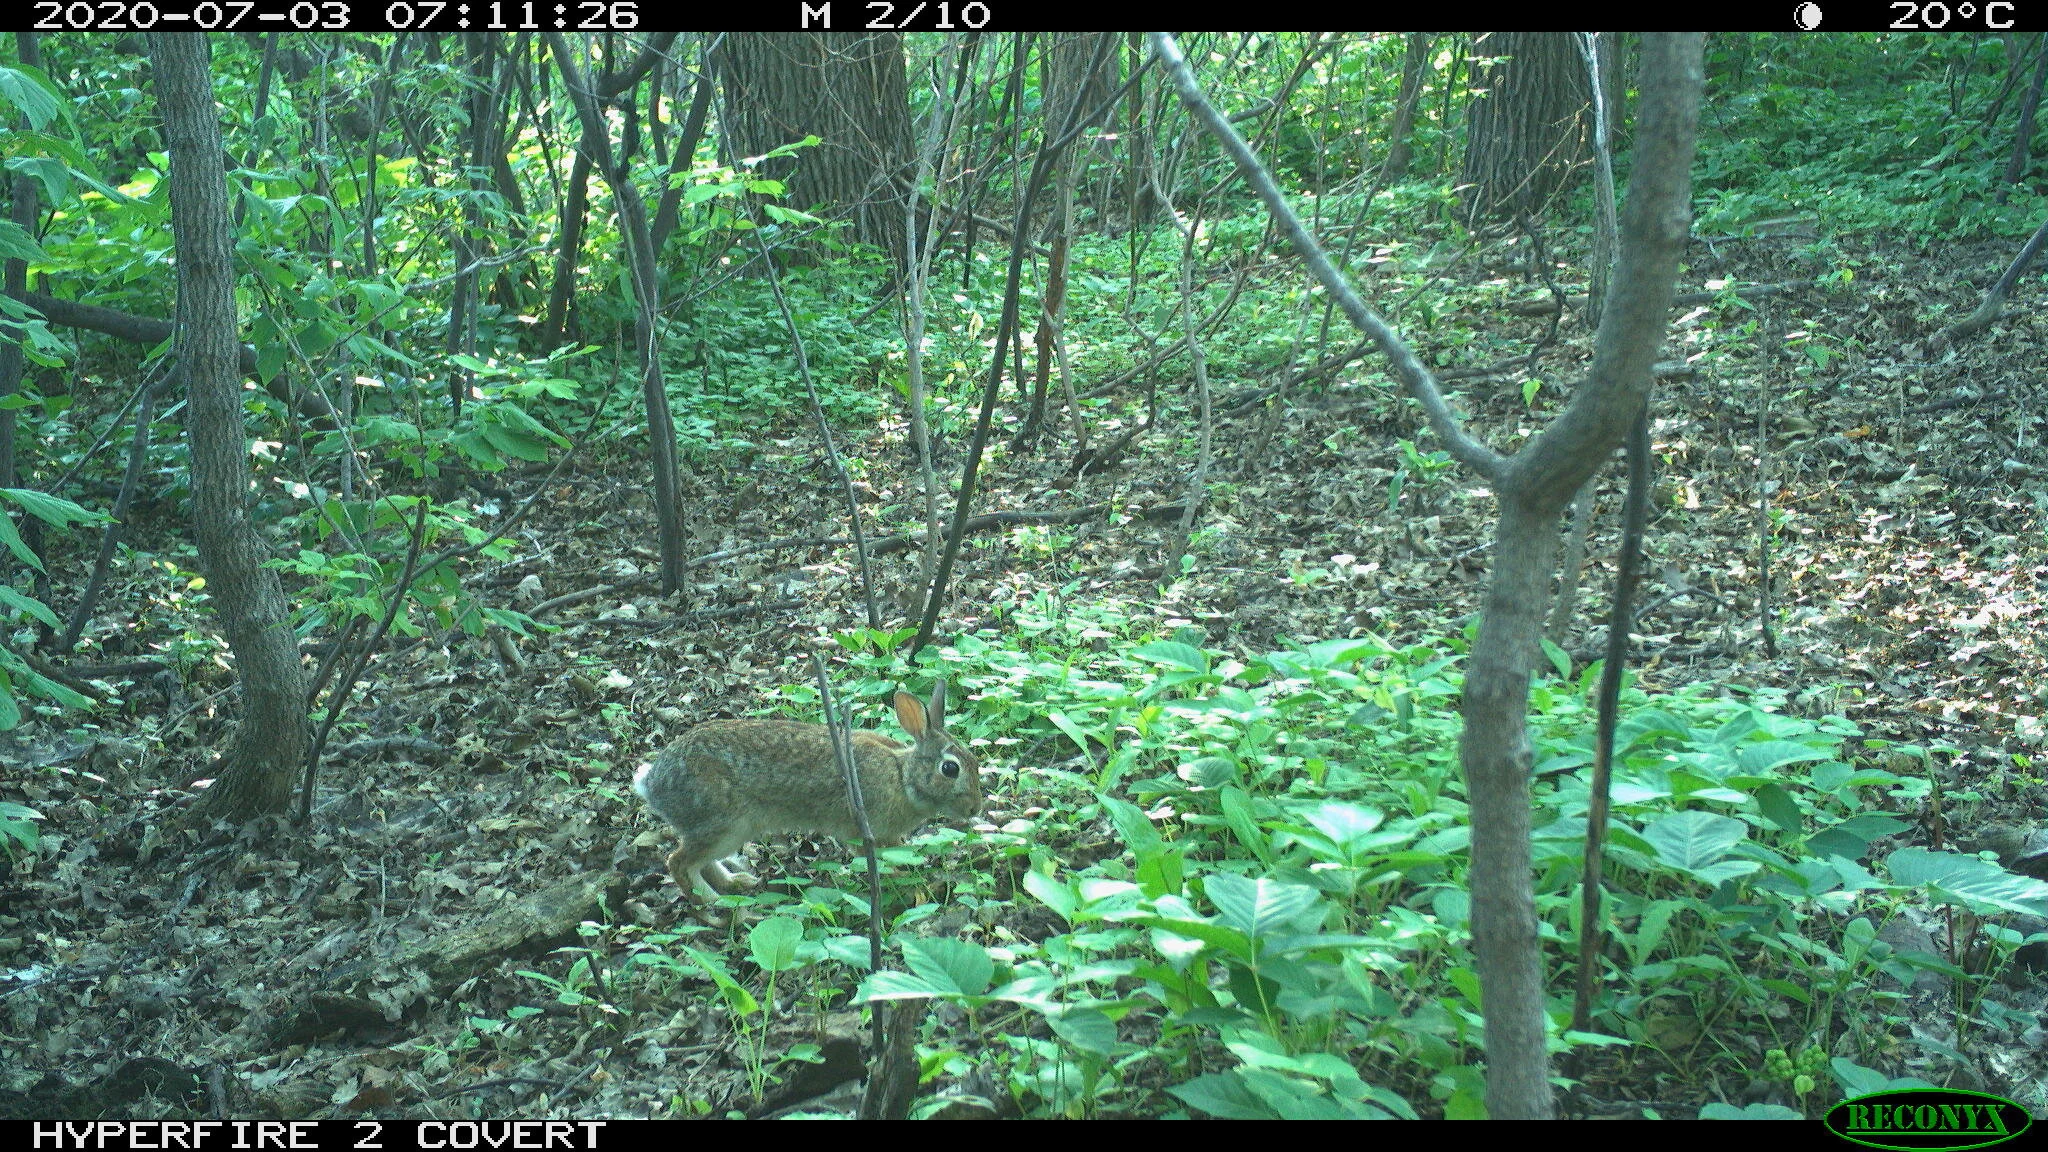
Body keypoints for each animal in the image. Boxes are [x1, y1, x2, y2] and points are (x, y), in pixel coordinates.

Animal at [633, 681, 983, 908]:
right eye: (950, 769)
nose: (975, 809)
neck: (903, 777)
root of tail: (652, 782)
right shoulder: (863, 833)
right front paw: (904, 880)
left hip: (731, 831)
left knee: (700, 863)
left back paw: (736, 884)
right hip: (721, 824)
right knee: (679, 863)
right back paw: (718, 907)